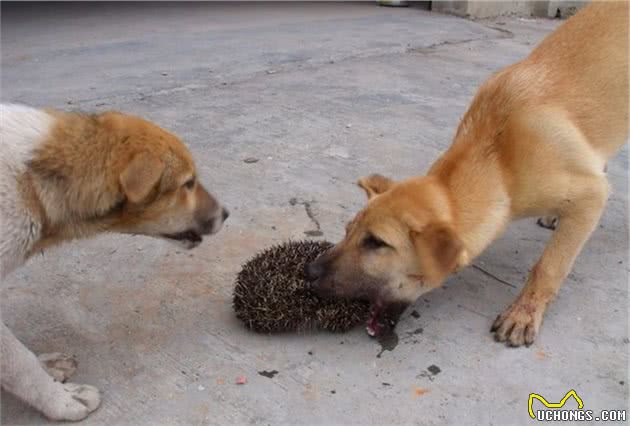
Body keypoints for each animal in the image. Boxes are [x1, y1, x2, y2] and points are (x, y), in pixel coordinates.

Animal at [1, 105, 228, 422]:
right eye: (188, 184)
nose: (226, 214)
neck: (32, 182)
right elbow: (18, 362)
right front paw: (62, 401)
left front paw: (47, 367)